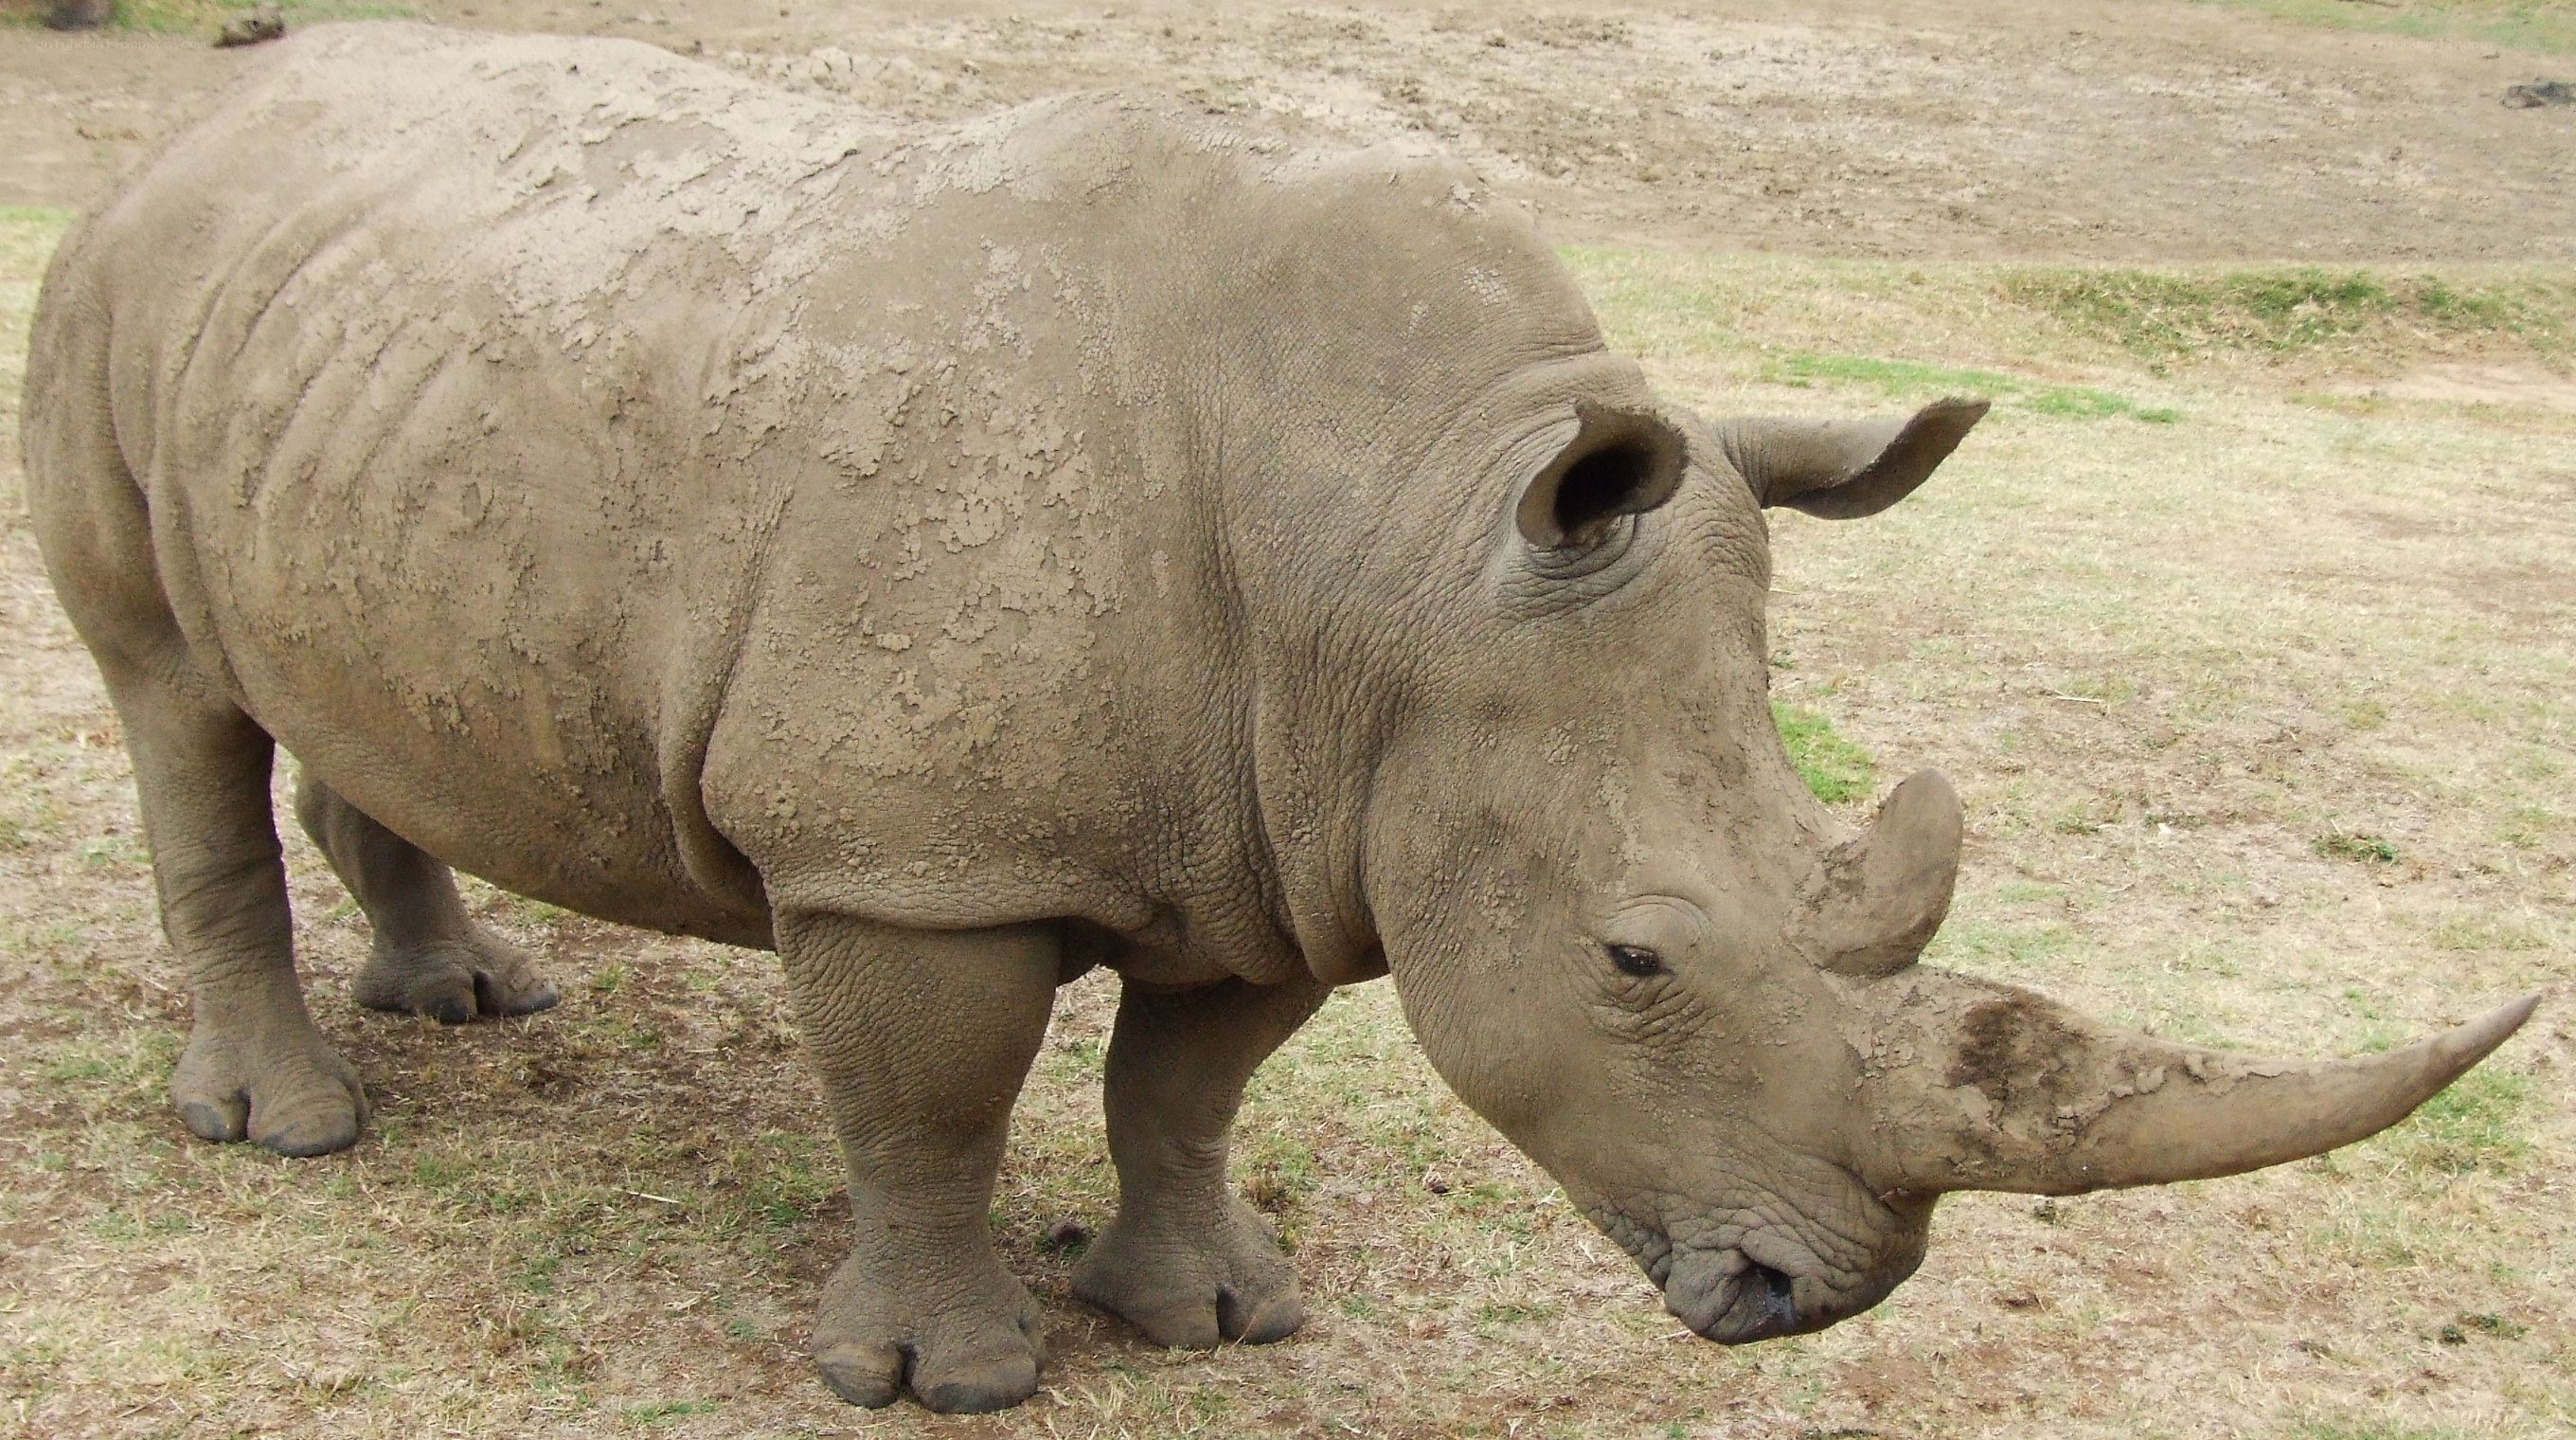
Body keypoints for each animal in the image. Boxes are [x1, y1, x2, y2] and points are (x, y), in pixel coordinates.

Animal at [22, 24, 2536, 1414]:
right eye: (1636, 959)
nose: (1809, 1297)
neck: (1402, 540)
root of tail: (201, 121)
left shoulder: (1289, 820)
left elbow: (1184, 1082)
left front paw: (1215, 1321)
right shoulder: (904, 856)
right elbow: (928, 1107)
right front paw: (940, 1378)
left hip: (361, 345)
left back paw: (470, 997)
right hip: (113, 289)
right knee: (170, 697)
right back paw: (292, 1130)